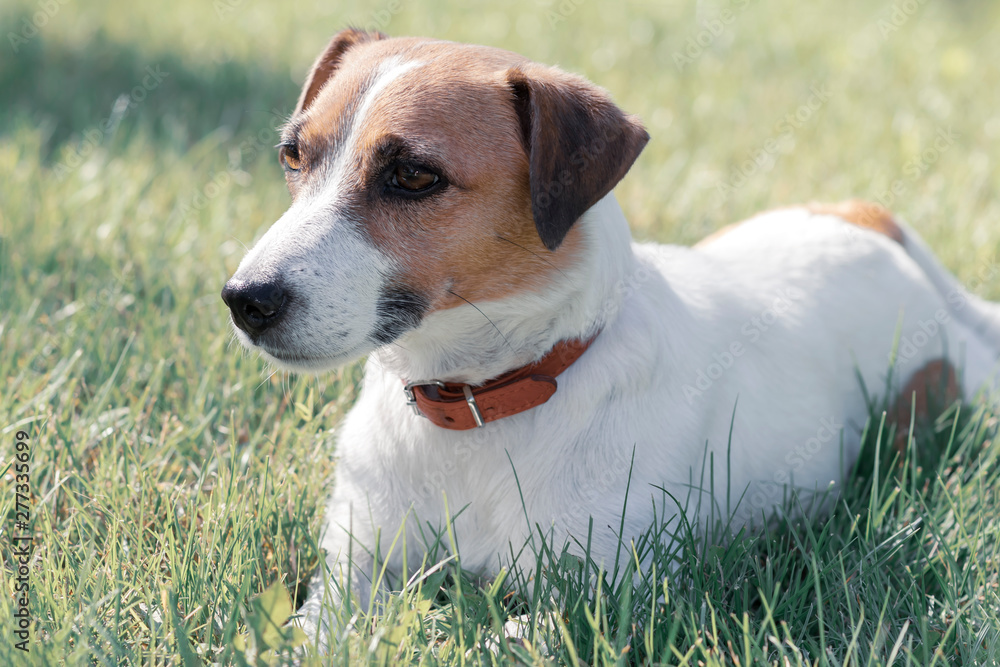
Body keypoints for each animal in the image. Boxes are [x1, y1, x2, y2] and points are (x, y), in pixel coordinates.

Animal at [223, 28, 1000, 648]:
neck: (481, 402)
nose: (244, 300)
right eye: (293, 156)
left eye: (413, 174)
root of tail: (870, 225)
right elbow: (312, 630)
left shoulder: (600, 598)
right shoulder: (355, 566)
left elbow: (494, 639)